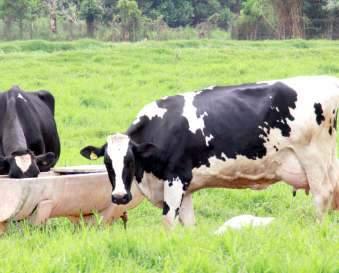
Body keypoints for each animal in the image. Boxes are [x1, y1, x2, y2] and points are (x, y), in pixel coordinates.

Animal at [81, 75, 339, 226]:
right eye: (106, 163)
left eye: (130, 160)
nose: (119, 197)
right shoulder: (185, 188)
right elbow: (188, 225)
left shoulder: (175, 178)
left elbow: (169, 222)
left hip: (313, 159)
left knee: (322, 197)